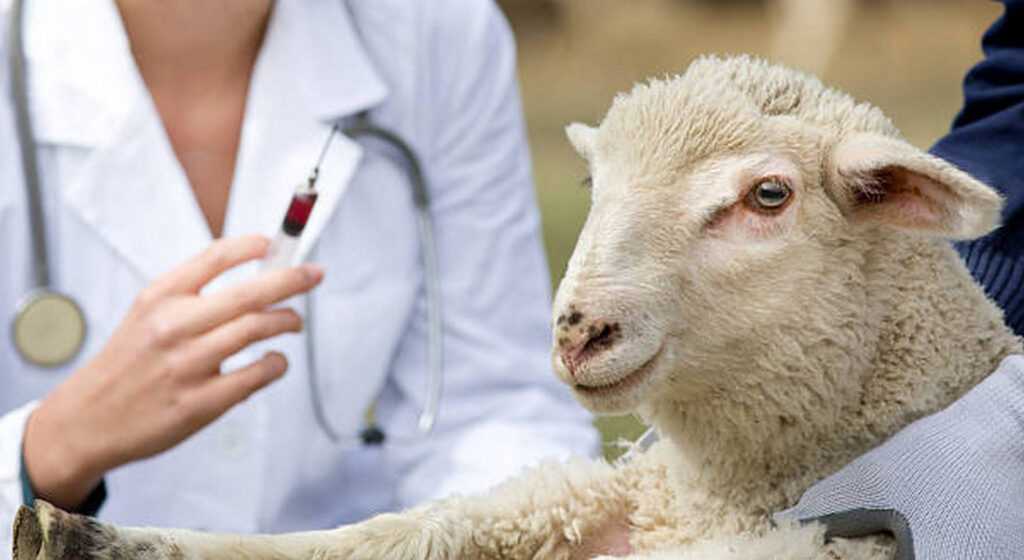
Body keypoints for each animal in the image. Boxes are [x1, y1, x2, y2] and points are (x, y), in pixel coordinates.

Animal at [13, 55, 1023, 560]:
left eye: (770, 197)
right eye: (592, 182)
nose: (578, 332)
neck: (710, 497)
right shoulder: (567, 505)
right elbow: (392, 534)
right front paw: (88, 534)